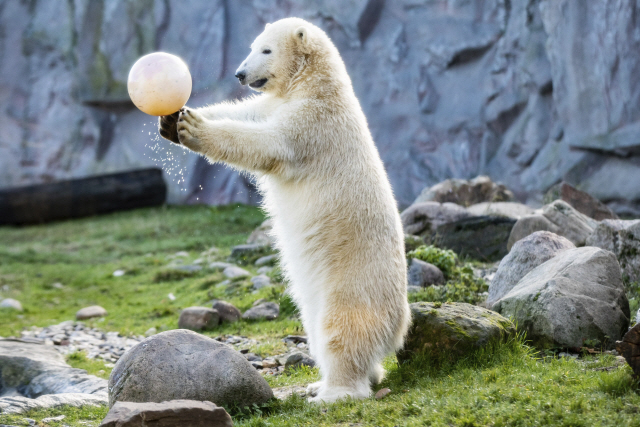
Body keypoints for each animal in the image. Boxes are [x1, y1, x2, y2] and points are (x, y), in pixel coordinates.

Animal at [158, 17, 412, 404]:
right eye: (252, 45)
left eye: (266, 50)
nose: (240, 73)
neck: (315, 85)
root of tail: (399, 326)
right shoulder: (277, 104)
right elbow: (246, 111)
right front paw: (172, 121)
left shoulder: (313, 122)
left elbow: (268, 142)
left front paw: (194, 128)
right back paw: (325, 382)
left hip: (353, 285)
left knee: (342, 332)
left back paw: (333, 393)